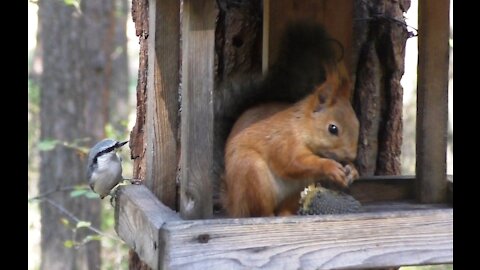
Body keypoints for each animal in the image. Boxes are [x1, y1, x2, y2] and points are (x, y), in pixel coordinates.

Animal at [219, 21, 358, 217]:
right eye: (333, 128)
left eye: (357, 124)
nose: (351, 155)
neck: (301, 126)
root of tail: (233, 204)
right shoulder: (283, 140)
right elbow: (293, 162)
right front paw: (330, 167)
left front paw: (352, 170)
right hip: (251, 173)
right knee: (260, 211)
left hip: (296, 189)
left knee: (285, 207)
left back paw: (288, 213)